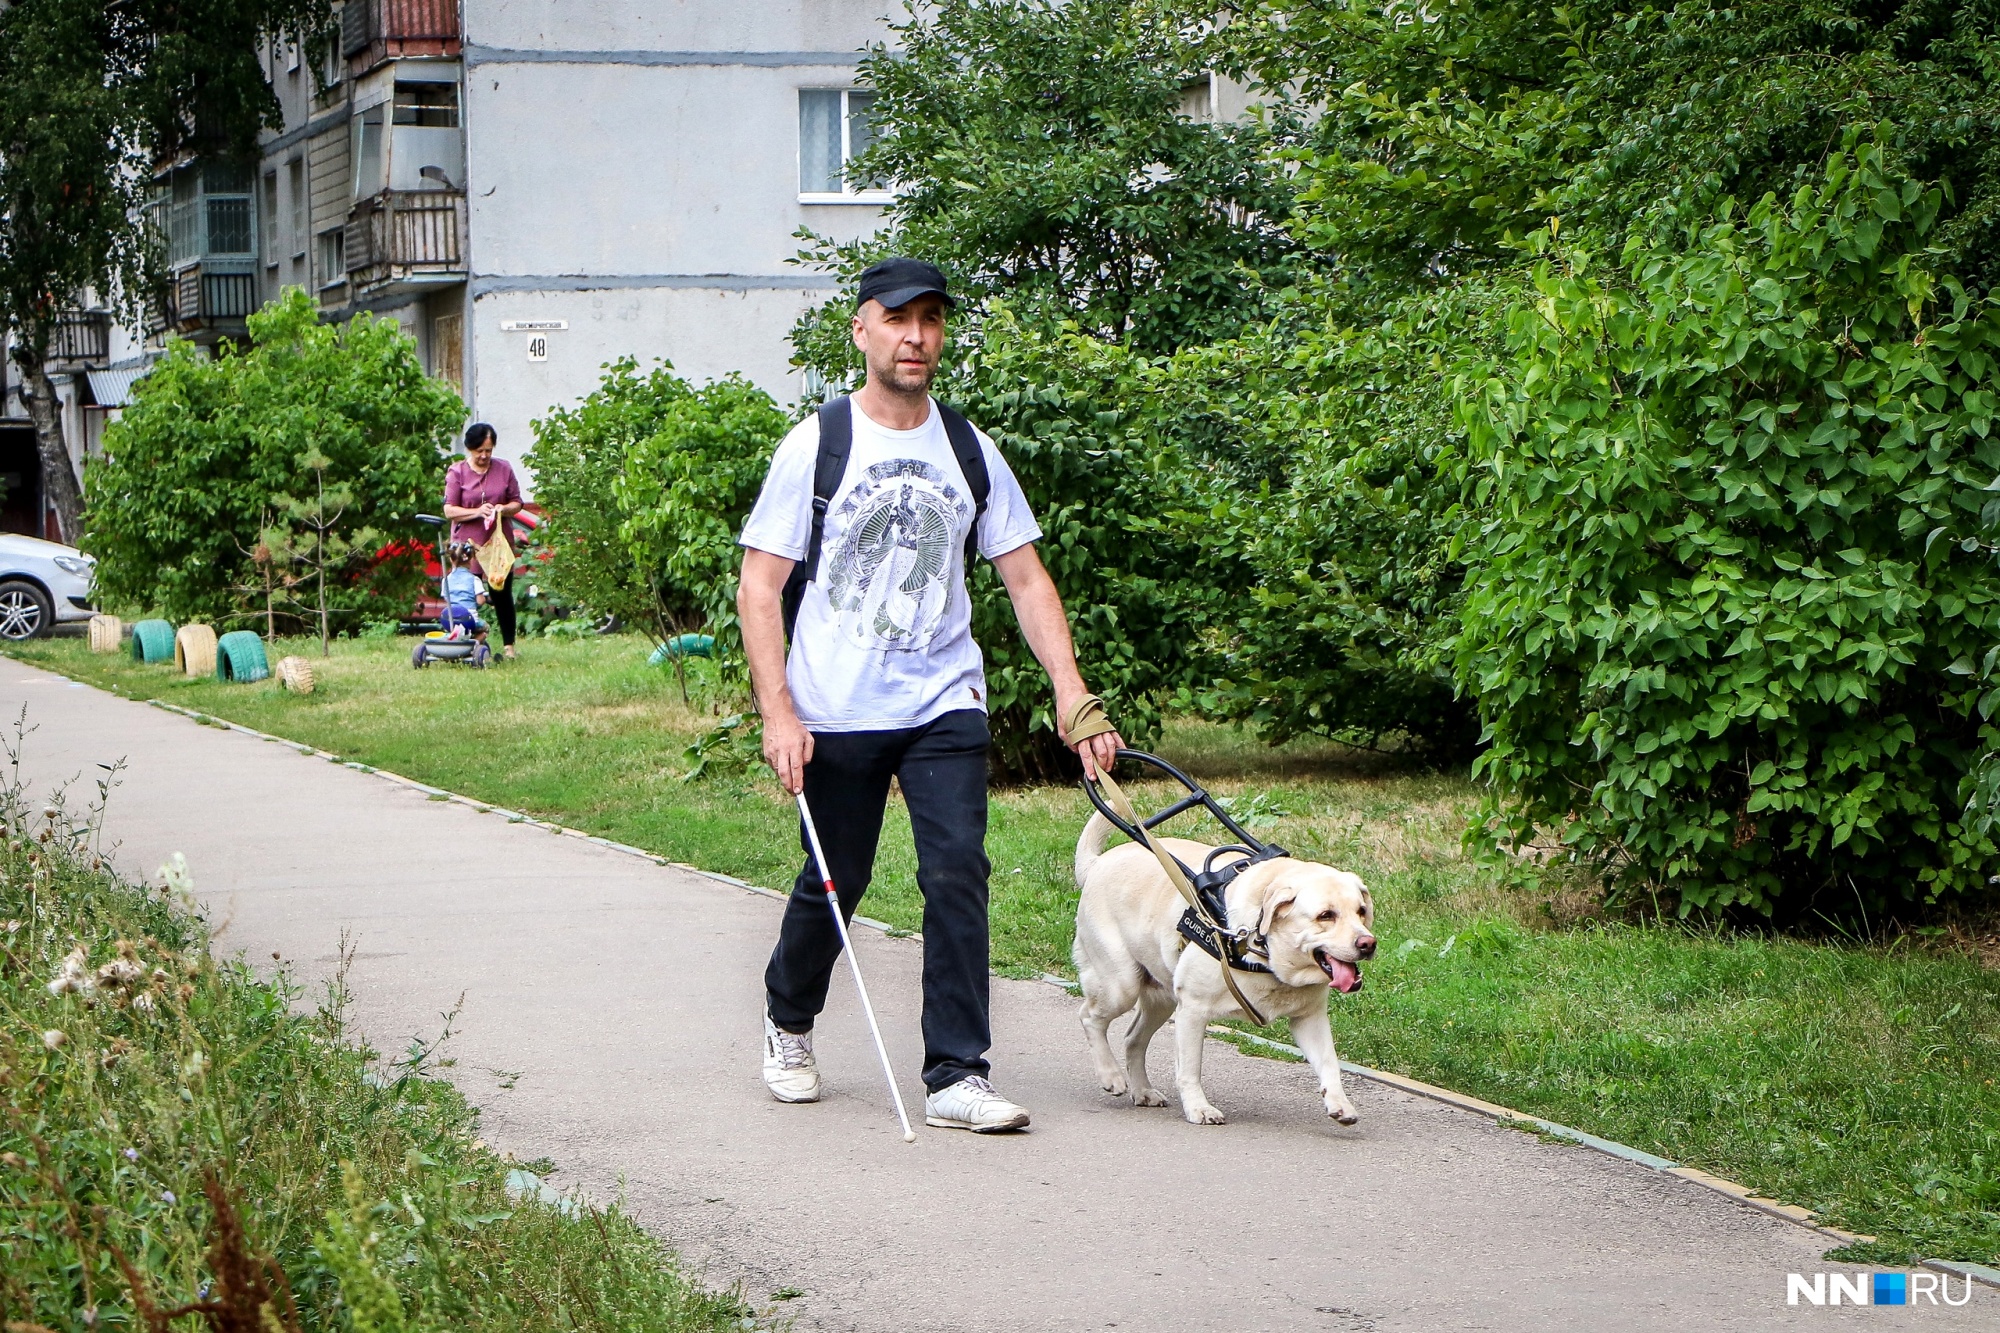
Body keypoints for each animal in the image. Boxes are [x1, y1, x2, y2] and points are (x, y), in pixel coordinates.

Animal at [1080, 808, 1376, 1120]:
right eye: (1325, 915)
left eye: (1361, 911)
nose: (1368, 943)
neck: (1263, 950)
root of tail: (1097, 864)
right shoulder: (1193, 1009)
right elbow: (1190, 1070)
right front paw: (1198, 1107)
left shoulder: (1310, 1017)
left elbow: (1329, 1062)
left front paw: (1339, 1102)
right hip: (1121, 985)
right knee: (1089, 1017)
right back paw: (1111, 1075)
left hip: (1162, 998)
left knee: (1132, 1039)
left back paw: (1143, 1090)